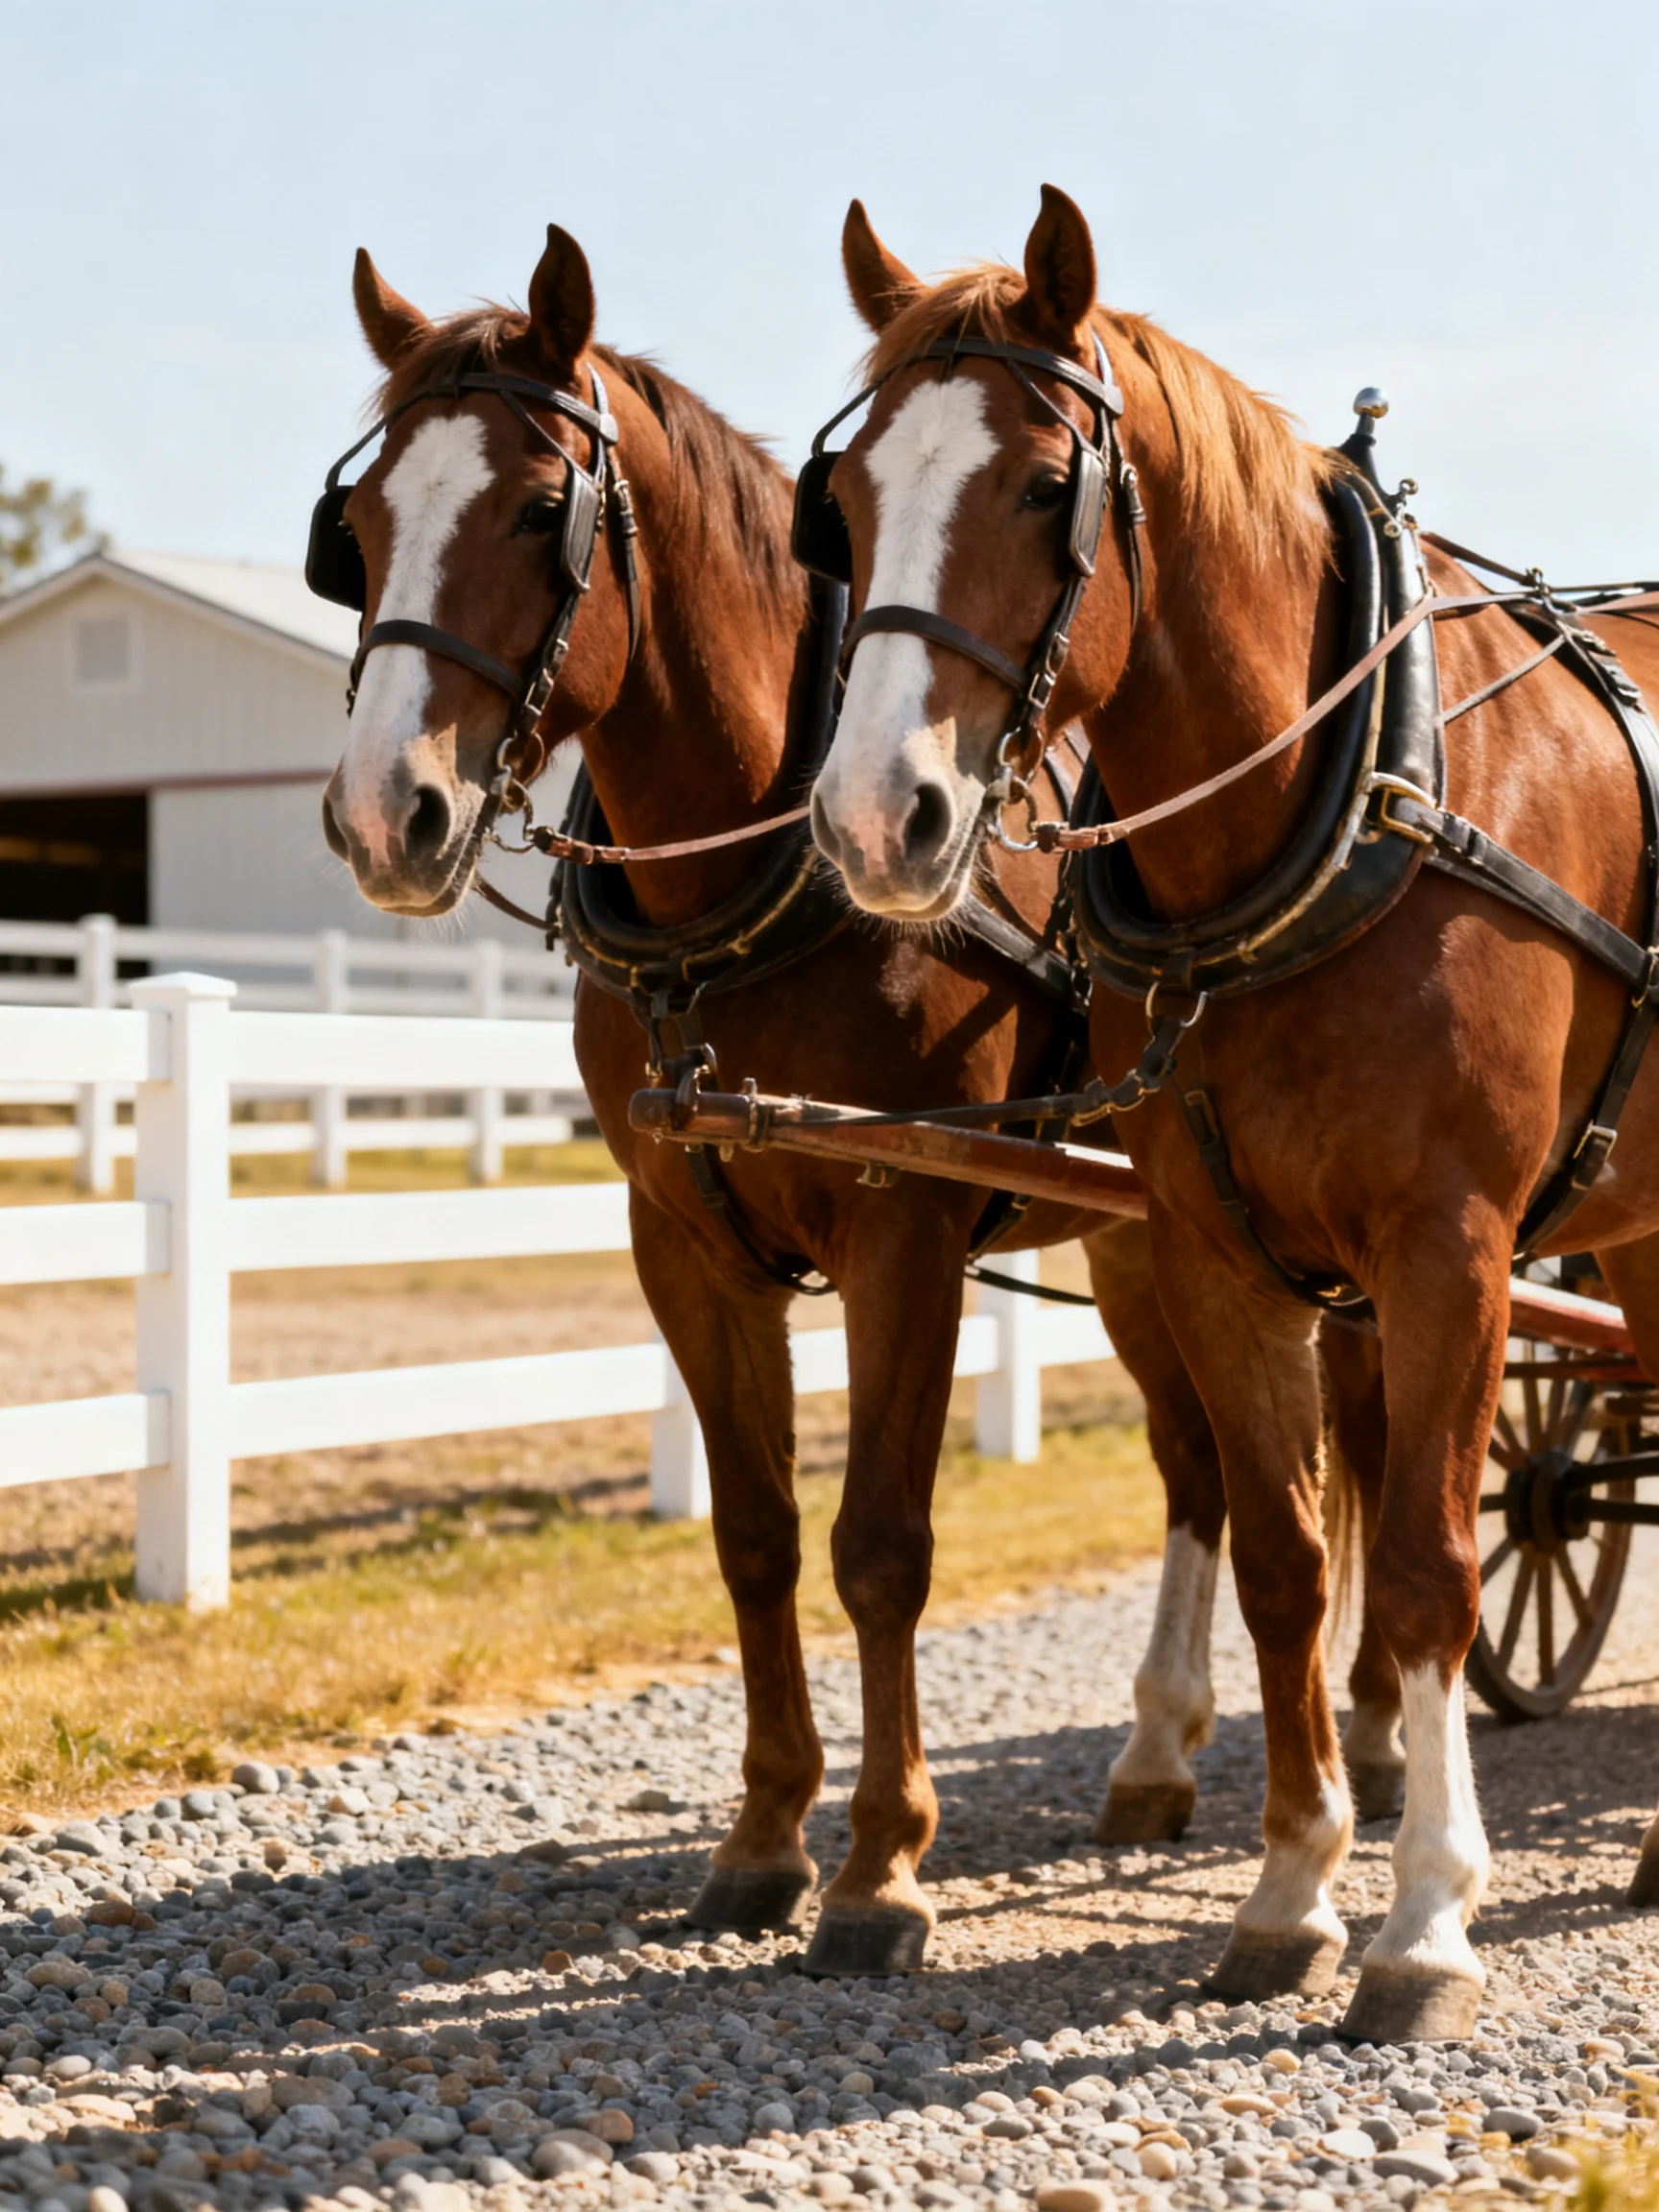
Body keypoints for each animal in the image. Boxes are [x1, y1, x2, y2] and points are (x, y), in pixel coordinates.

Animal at [313, 221, 1395, 1979]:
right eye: (358, 529)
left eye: (541, 509)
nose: (377, 812)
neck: (744, 888)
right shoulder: (680, 1238)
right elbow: (754, 1536)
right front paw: (761, 1839)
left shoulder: (901, 1224)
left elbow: (881, 1545)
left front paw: (882, 1866)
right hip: (1140, 1236)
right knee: (1198, 1470)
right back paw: (1157, 1751)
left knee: (1354, 1442)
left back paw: (1372, 1734)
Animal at [807, 185, 1659, 2040]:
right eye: (845, 502)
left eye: (1040, 484)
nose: (875, 817)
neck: (1330, 811)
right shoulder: (1216, 1253)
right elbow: (1285, 1557)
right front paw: (1288, 1892)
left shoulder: (1448, 1251)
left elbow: (1418, 1568)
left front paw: (1426, 1920)